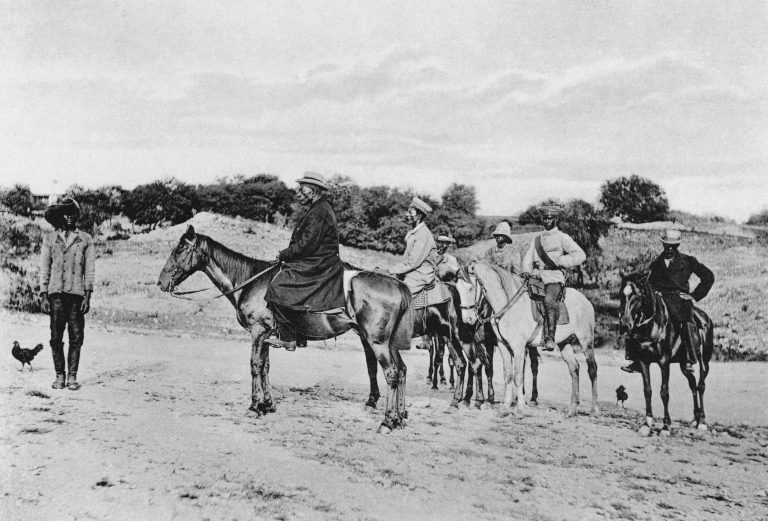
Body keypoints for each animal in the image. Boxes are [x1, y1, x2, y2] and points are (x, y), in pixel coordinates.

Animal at [157, 225, 416, 432]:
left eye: (180, 249)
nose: (161, 282)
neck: (251, 281)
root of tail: (398, 284)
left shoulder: (258, 331)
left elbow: (255, 366)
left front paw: (254, 406)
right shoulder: (267, 335)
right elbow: (266, 367)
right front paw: (268, 404)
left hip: (376, 342)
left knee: (392, 373)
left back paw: (387, 421)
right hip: (388, 343)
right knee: (402, 370)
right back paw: (398, 418)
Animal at [460, 262, 596, 416]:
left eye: (470, 288)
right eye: (457, 288)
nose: (468, 319)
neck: (507, 305)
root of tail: (586, 300)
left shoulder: (518, 347)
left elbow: (518, 375)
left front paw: (520, 407)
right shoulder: (502, 345)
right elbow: (507, 375)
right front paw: (505, 407)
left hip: (586, 340)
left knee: (592, 369)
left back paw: (594, 409)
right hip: (564, 343)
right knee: (574, 368)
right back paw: (572, 409)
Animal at [616, 272, 712, 434]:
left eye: (637, 295)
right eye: (621, 294)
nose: (625, 324)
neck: (652, 325)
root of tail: (705, 317)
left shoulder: (664, 362)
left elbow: (664, 392)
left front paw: (666, 426)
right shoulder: (643, 361)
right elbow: (647, 390)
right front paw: (647, 423)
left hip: (704, 361)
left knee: (701, 386)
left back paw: (703, 422)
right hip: (683, 364)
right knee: (692, 384)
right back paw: (695, 419)